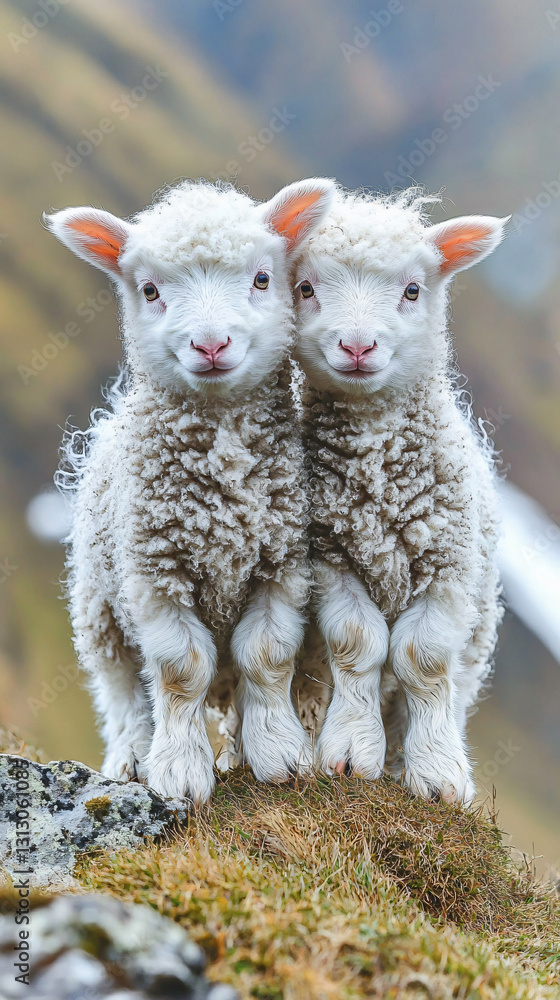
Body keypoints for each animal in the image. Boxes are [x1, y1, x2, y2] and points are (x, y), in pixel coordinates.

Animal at [45, 177, 335, 804]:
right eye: (150, 290)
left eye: (261, 278)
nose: (211, 345)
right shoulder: (156, 576)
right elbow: (180, 671)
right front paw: (179, 772)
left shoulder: (280, 566)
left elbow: (266, 658)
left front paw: (279, 756)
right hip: (100, 611)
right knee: (125, 691)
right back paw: (132, 757)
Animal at [292, 187, 509, 804]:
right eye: (306, 288)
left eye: (413, 290)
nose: (357, 345)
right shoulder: (332, 558)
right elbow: (357, 644)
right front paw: (348, 752)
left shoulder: (448, 567)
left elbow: (423, 660)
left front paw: (436, 775)